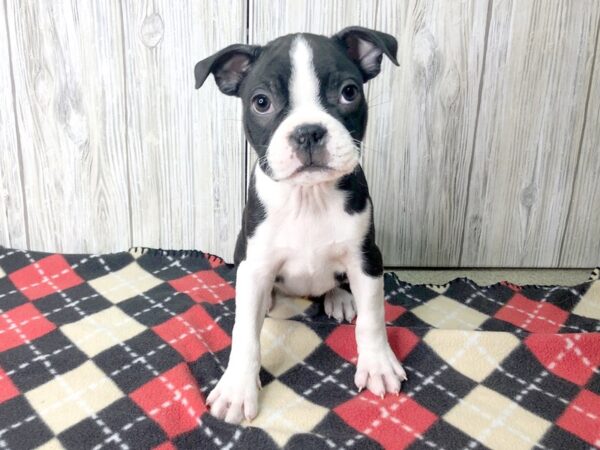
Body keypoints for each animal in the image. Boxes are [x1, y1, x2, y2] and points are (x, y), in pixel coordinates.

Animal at [195, 28, 406, 426]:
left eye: (349, 92)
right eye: (261, 102)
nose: (309, 132)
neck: (309, 197)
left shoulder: (366, 258)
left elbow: (373, 317)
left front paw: (378, 365)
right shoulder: (254, 263)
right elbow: (244, 333)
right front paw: (237, 389)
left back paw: (339, 297)